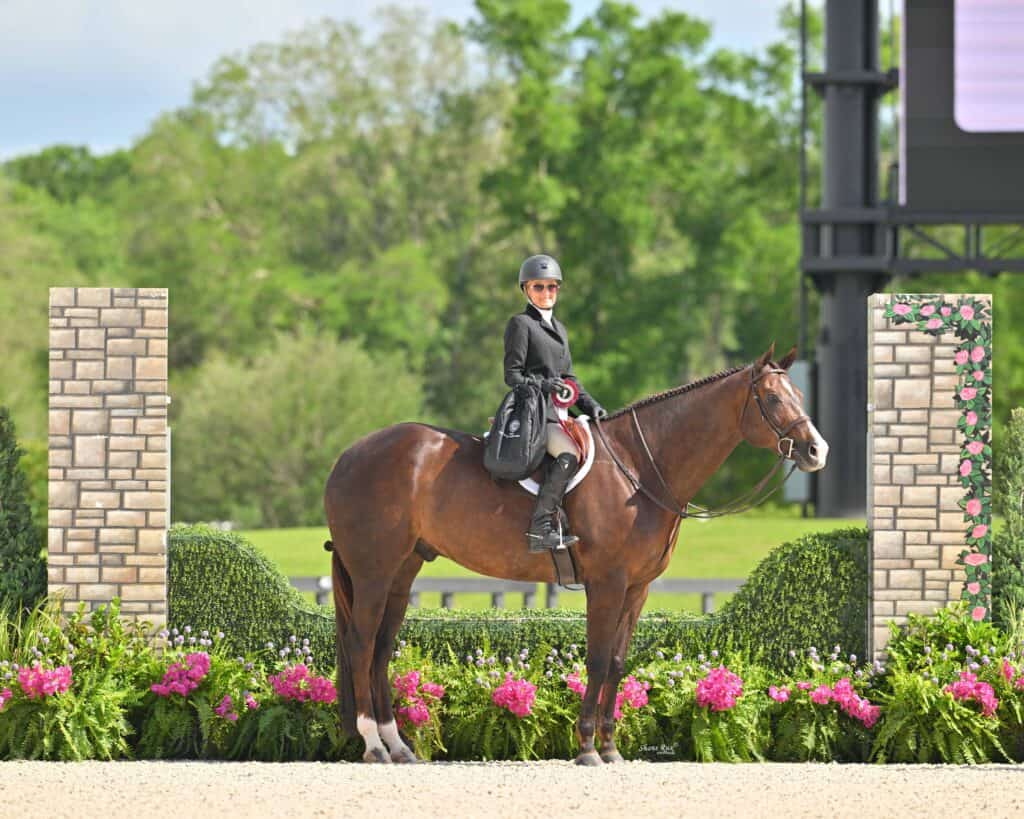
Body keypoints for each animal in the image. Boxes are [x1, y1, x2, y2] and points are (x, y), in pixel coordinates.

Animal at [323, 342, 829, 765]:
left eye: (800, 393)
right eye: (773, 398)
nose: (816, 451)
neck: (641, 468)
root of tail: (348, 455)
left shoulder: (637, 588)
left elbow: (619, 663)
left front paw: (610, 747)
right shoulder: (606, 584)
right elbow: (599, 659)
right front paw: (586, 748)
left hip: (402, 571)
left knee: (381, 648)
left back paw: (398, 746)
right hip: (372, 573)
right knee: (362, 644)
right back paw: (372, 744)